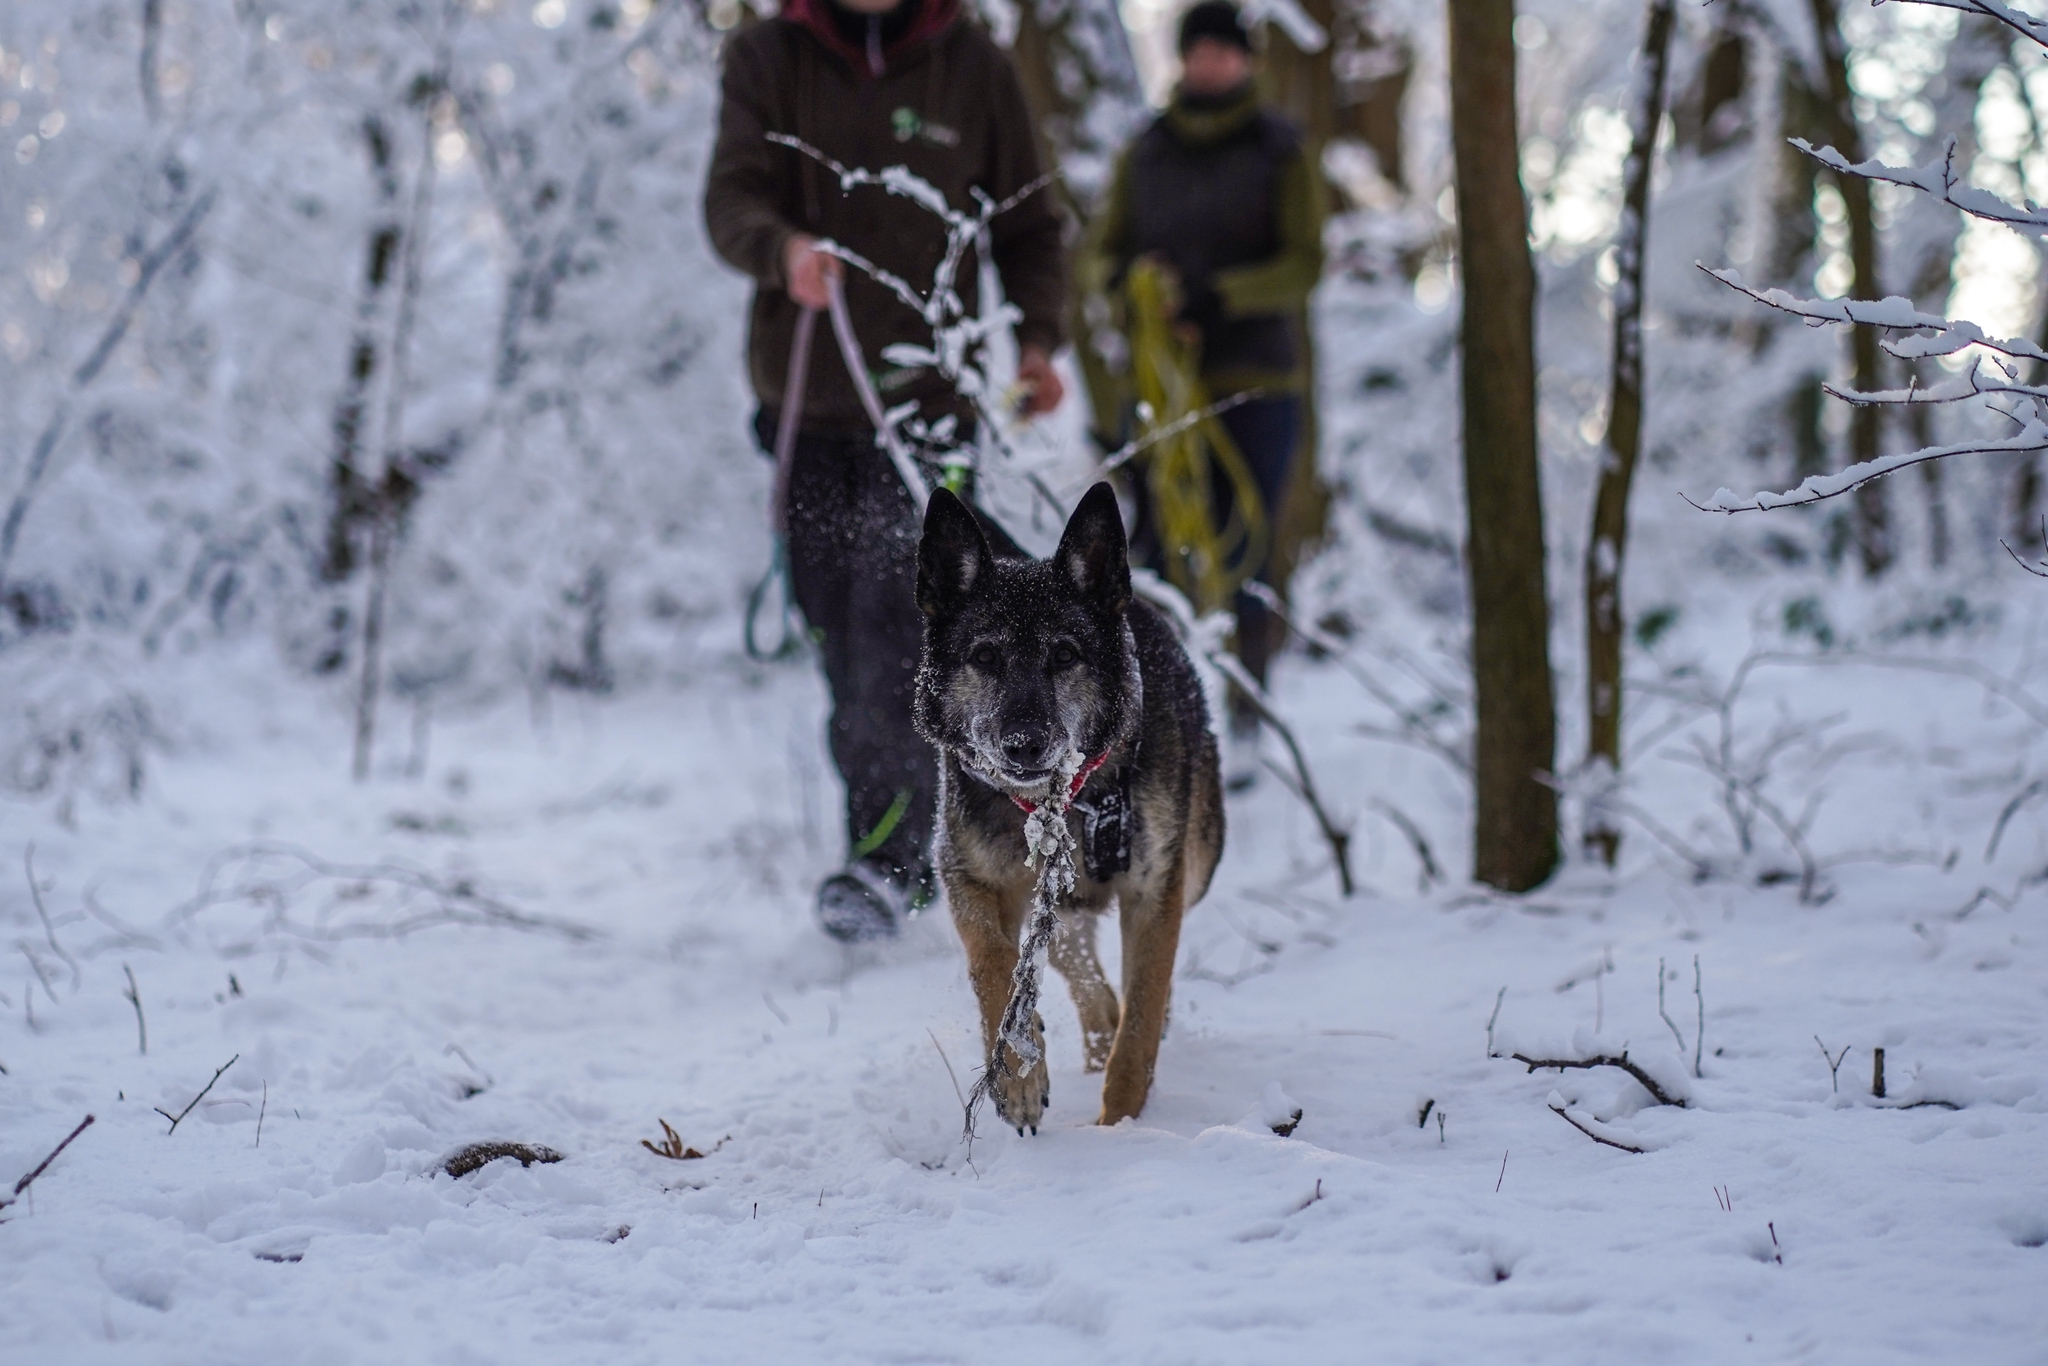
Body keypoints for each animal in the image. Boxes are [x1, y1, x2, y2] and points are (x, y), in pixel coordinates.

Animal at [913, 485, 1212, 1130]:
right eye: (985, 656)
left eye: (1066, 655)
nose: (1024, 743)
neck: (1062, 801)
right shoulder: (968, 878)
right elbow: (994, 964)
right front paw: (1017, 1078)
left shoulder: (1154, 891)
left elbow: (1141, 1018)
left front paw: (1120, 1124)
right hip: (1056, 907)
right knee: (1089, 984)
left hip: (1195, 861)